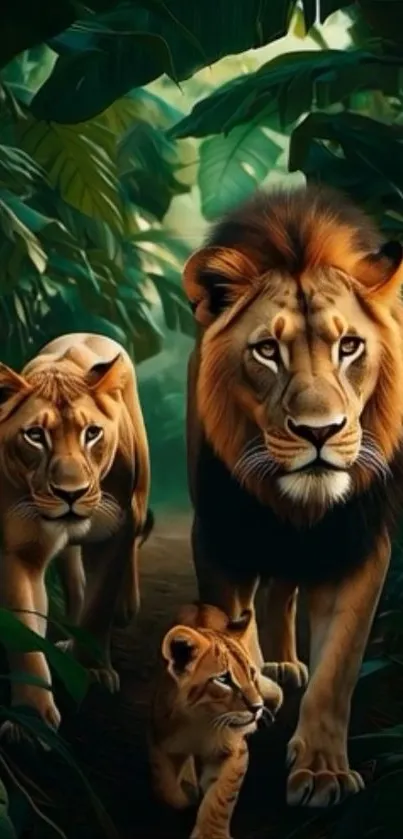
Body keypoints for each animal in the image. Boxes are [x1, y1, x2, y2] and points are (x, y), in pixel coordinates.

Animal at [0, 332, 151, 738]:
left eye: (92, 433)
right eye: (35, 435)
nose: (71, 493)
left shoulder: (116, 530)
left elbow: (101, 604)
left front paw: (94, 671)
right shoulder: (19, 546)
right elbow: (24, 627)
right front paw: (31, 715)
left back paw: (127, 608)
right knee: (74, 578)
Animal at [150, 603, 282, 839]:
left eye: (251, 674)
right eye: (223, 679)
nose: (257, 707)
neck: (201, 721)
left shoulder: (234, 751)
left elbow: (221, 795)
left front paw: (211, 834)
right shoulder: (160, 743)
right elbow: (166, 788)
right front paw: (184, 800)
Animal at [183, 185, 403, 808]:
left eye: (349, 346)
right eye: (266, 351)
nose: (318, 431)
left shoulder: (361, 545)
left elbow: (339, 669)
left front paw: (323, 772)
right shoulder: (218, 534)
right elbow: (230, 624)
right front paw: (248, 689)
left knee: (283, 591)